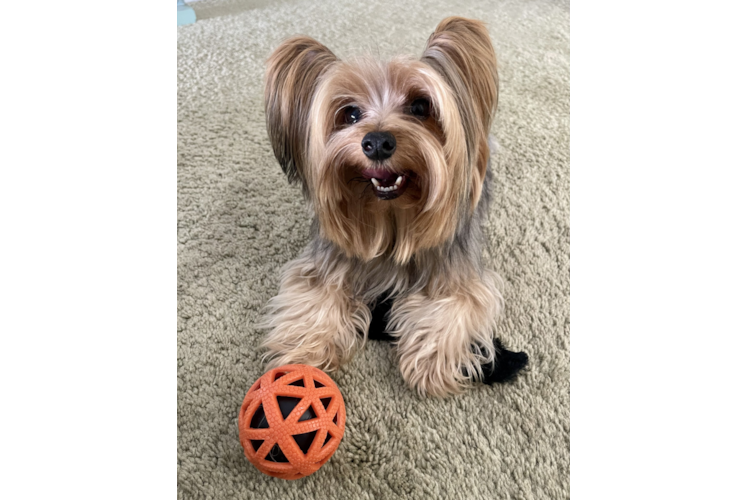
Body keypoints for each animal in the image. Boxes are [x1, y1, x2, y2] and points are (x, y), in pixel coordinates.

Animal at [260, 17, 528, 396]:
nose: (376, 142)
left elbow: (453, 306)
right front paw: (306, 352)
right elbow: (314, 297)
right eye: (350, 113)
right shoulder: (326, 262)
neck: (390, 216)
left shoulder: (458, 274)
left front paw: (429, 363)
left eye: (420, 107)